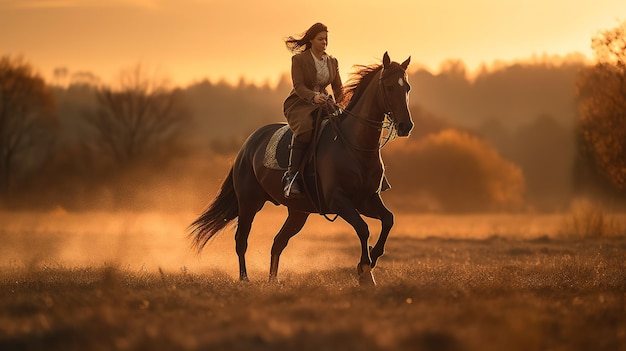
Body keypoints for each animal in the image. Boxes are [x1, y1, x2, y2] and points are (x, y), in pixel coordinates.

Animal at [188, 53, 412, 288]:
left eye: (407, 87)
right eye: (389, 87)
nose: (406, 126)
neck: (353, 145)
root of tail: (248, 145)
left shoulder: (366, 199)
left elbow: (388, 220)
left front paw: (371, 259)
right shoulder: (339, 201)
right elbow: (363, 228)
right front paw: (365, 270)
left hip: (298, 212)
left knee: (278, 242)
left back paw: (273, 281)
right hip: (249, 202)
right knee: (242, 240)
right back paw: (245, 279)